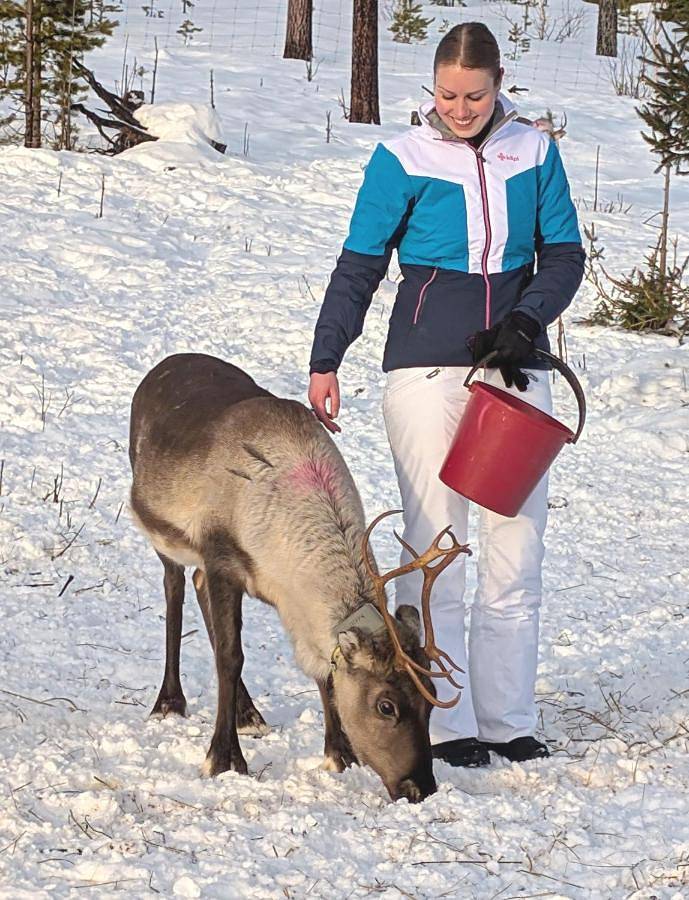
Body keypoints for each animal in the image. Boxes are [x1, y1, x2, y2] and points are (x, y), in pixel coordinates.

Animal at [128, 353, 470, 803]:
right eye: (386, 705)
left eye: (429, 704)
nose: (420, 787)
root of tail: (162, 366)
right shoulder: (221, 558)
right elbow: (230, 656)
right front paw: (223, 759)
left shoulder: (288, 602)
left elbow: (321, 669)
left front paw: (339, 753)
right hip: (165, 537)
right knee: (176, 589)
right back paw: (169, 701)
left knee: (198, 590)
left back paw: (248, 714)